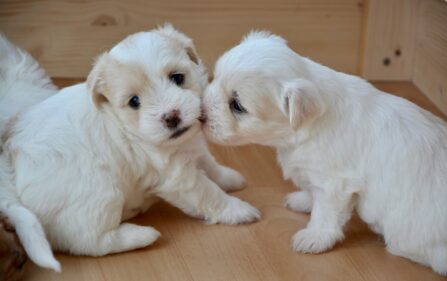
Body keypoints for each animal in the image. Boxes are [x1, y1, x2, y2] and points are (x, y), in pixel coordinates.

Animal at [0, 24, 260, 264]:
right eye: (134, 101)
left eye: (177, 78)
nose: (171, 117)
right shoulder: (178, 177)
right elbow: (209, 194)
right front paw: (238, 210)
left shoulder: (192, 148)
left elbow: (210, 165)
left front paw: (230, 178)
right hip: (100, 195)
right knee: (88, 241)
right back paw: (141, 235)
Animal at [203, 31, 447, 274]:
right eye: (214, 77)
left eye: (236, 105)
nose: (201, 115)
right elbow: (313, 193)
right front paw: (303, 201)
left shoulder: (335, 184)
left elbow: (325, 213)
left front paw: (314, 237)